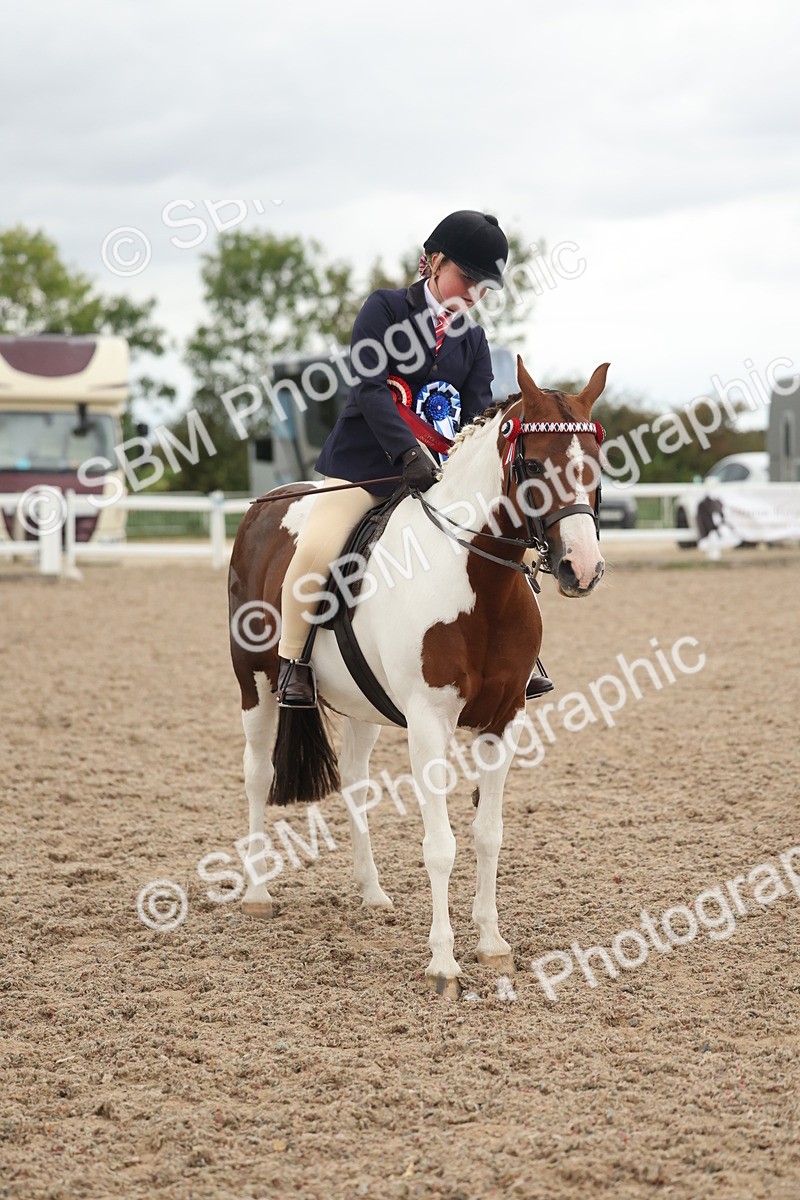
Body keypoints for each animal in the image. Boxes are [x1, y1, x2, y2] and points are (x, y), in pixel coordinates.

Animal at [227, 356, 609, 998]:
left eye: (596, 464)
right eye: (532, 464)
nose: (581, 569)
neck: (479, 582)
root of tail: (264, 505)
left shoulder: (505, 718)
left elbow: (487, 834)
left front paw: (492, 945)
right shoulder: (429, 723)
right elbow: (441, 846)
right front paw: (444, 964)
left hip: (361, 704)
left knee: (354, 782)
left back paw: (372, 894)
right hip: (253, 681)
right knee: (257, 775)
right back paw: (257, 894)